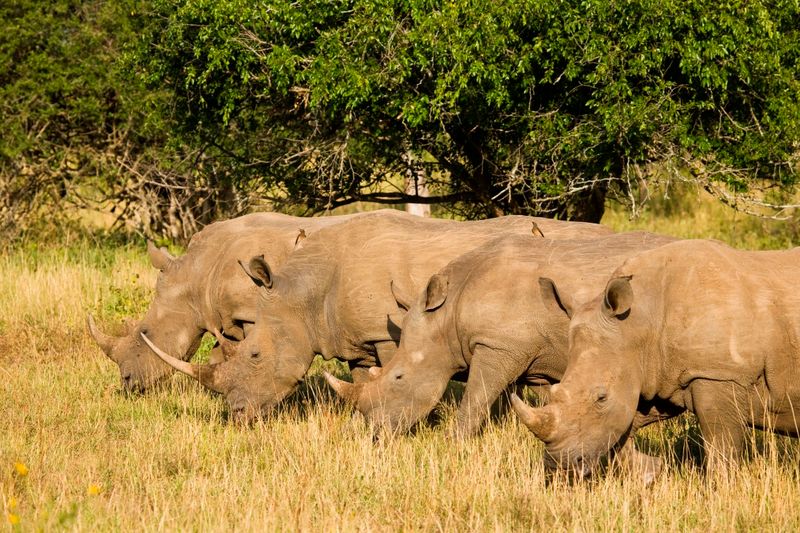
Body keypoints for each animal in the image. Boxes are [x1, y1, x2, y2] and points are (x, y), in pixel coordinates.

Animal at [87, 211, 358, 392]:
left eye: (145, 332)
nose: (127, 383)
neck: (197, 276)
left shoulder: (251, 313)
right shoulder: (226, 318)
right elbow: (219, 359)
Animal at [142, 210, 612, 421]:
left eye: (255, 356)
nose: (237, 415)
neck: (304, 292)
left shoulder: (386, 334)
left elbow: (394, 372)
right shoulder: (357, 339)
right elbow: (360, 379)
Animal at [324, 232, 674, 445]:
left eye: (398, 377)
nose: (375, 433)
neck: (446, 316)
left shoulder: (497, 346)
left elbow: (476, 397)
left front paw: (454, 443)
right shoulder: (537, 354)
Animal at [511, 239, 800, 476]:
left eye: (601, 398)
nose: (558, 465)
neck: (640, 321)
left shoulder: (719, 374)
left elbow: (722, 446)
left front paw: (723, 490)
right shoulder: (655, 373)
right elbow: (622, 432)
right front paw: (651, 472)